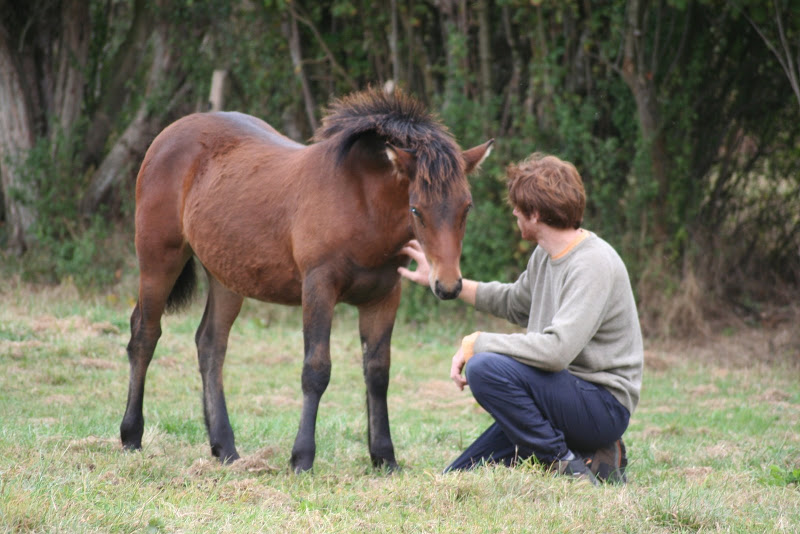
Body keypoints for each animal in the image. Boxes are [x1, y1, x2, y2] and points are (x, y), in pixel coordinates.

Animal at [119, 89, 494, 474]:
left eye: (466, 207)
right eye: (416, 209)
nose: (447, 286)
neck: (362, 204)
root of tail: (167, 135)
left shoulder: (384, 297)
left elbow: (378, 373)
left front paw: (384, 457)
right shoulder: (319, 288)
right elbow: (316, 370)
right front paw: (301, 457)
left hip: (226, 277)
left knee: (210, 344)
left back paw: (225, 448)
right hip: (159, 259)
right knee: (145, 335)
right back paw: (132, 436)